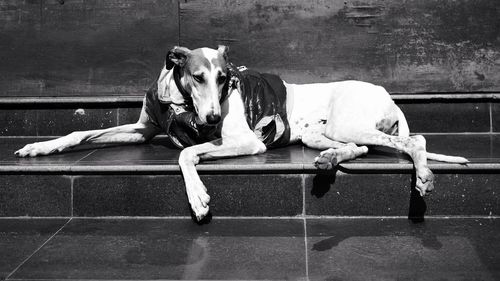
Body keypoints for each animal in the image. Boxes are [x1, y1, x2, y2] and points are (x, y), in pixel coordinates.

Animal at [15, 46, 468, 220]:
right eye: (198, 76)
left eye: (226, 78)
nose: (214, 115)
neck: (179, 103)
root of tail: (388, 94)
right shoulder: (144, 129)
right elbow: (81, 131)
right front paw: (40, 146)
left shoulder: (245, 140)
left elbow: (186, 153)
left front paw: (198, 199)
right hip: (321, 134)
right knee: (355, 149)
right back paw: (328, 161)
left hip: (349, 121)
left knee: (415, 141)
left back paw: (424, 177)